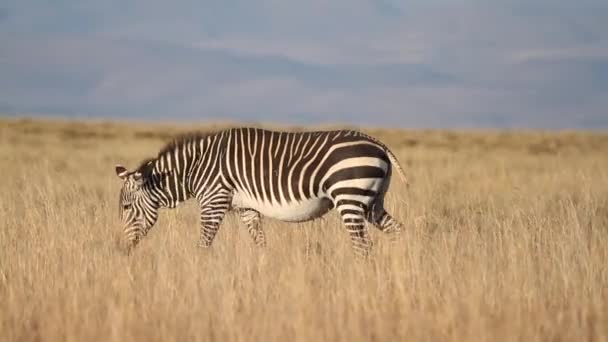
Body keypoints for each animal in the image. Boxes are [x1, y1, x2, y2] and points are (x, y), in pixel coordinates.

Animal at [114, 128, 408, 256]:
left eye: (126, 208)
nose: (120, 251)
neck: (196, 169)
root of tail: (376, 142)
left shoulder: (214, 201)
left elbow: (203, 245)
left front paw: (198, 275)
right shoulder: (246, 208)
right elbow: (260, 243)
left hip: (349, 198)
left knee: (362, 246)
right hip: (372, 203)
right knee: (398, 231)